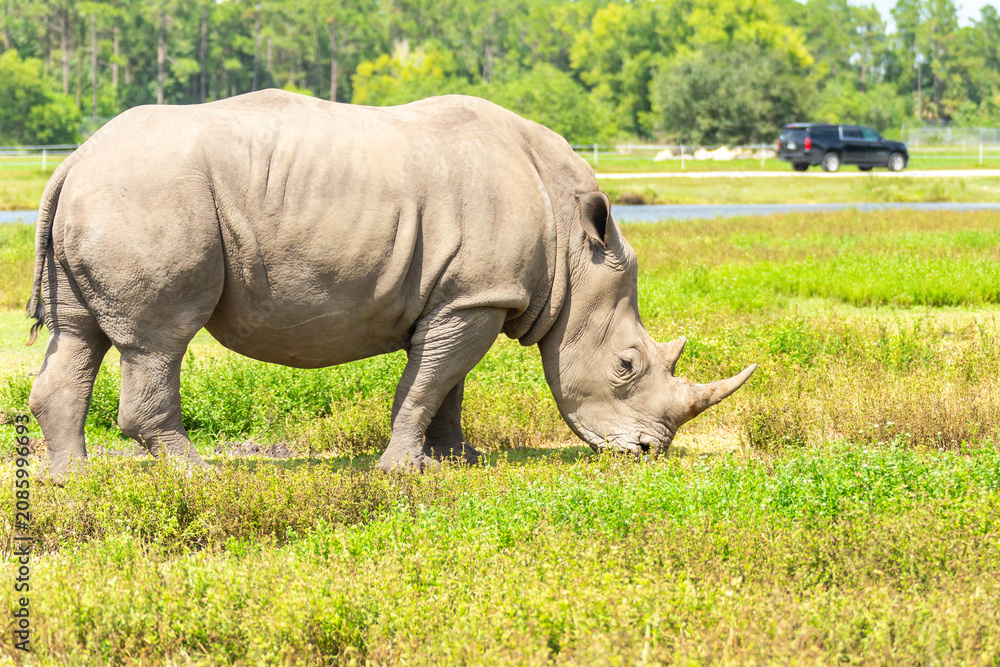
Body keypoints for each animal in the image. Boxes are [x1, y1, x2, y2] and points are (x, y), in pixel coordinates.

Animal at [26, 90, 755, 482]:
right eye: (626, 365)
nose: (648, 452)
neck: (575, 248)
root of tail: (74, 159)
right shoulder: (476, 295)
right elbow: (428, 383)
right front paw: (404, 471)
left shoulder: (469, 293)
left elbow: (448, 383)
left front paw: (460, 460)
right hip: (147, 196)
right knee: (159, 338)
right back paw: (199, 475)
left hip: (107, 194)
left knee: (79, 335)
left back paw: (72, 482)